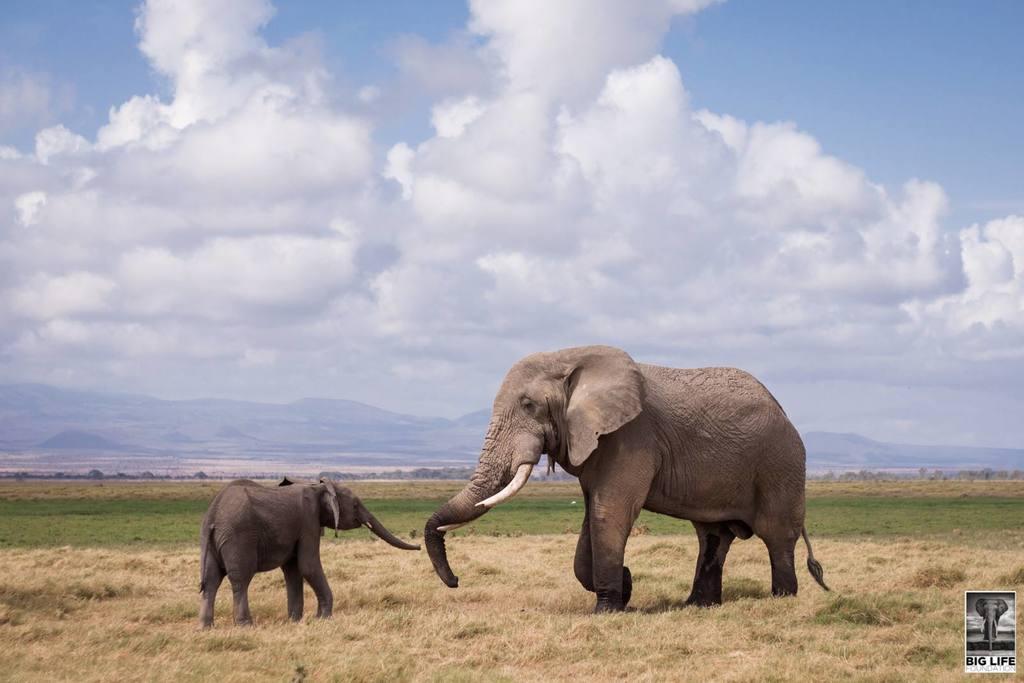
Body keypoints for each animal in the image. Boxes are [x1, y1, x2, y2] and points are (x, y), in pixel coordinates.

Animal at [199, 479, 415, 626]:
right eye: (355, 505)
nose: (419, 547)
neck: (318, 487)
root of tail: (213, 514)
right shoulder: (308, 520)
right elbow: (308, 565)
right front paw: (324, 619)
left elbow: (293, 570)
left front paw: (295, 620)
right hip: (238, 537)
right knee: (240, 580)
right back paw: (245, 625)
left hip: (212, 541)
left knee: (211, 581)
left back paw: (206, 627)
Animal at [423, 348, 831, 614]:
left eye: (528, 406)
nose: (455, 581)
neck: (571, 359)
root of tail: (783, 410)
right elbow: (592, 516)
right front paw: (626, 586)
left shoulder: (632, 436)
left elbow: (610, 512)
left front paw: (608, 608)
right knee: (713, 536)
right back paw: (697, 606)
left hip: (780, 464)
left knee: (777, 536)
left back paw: (782, 600)